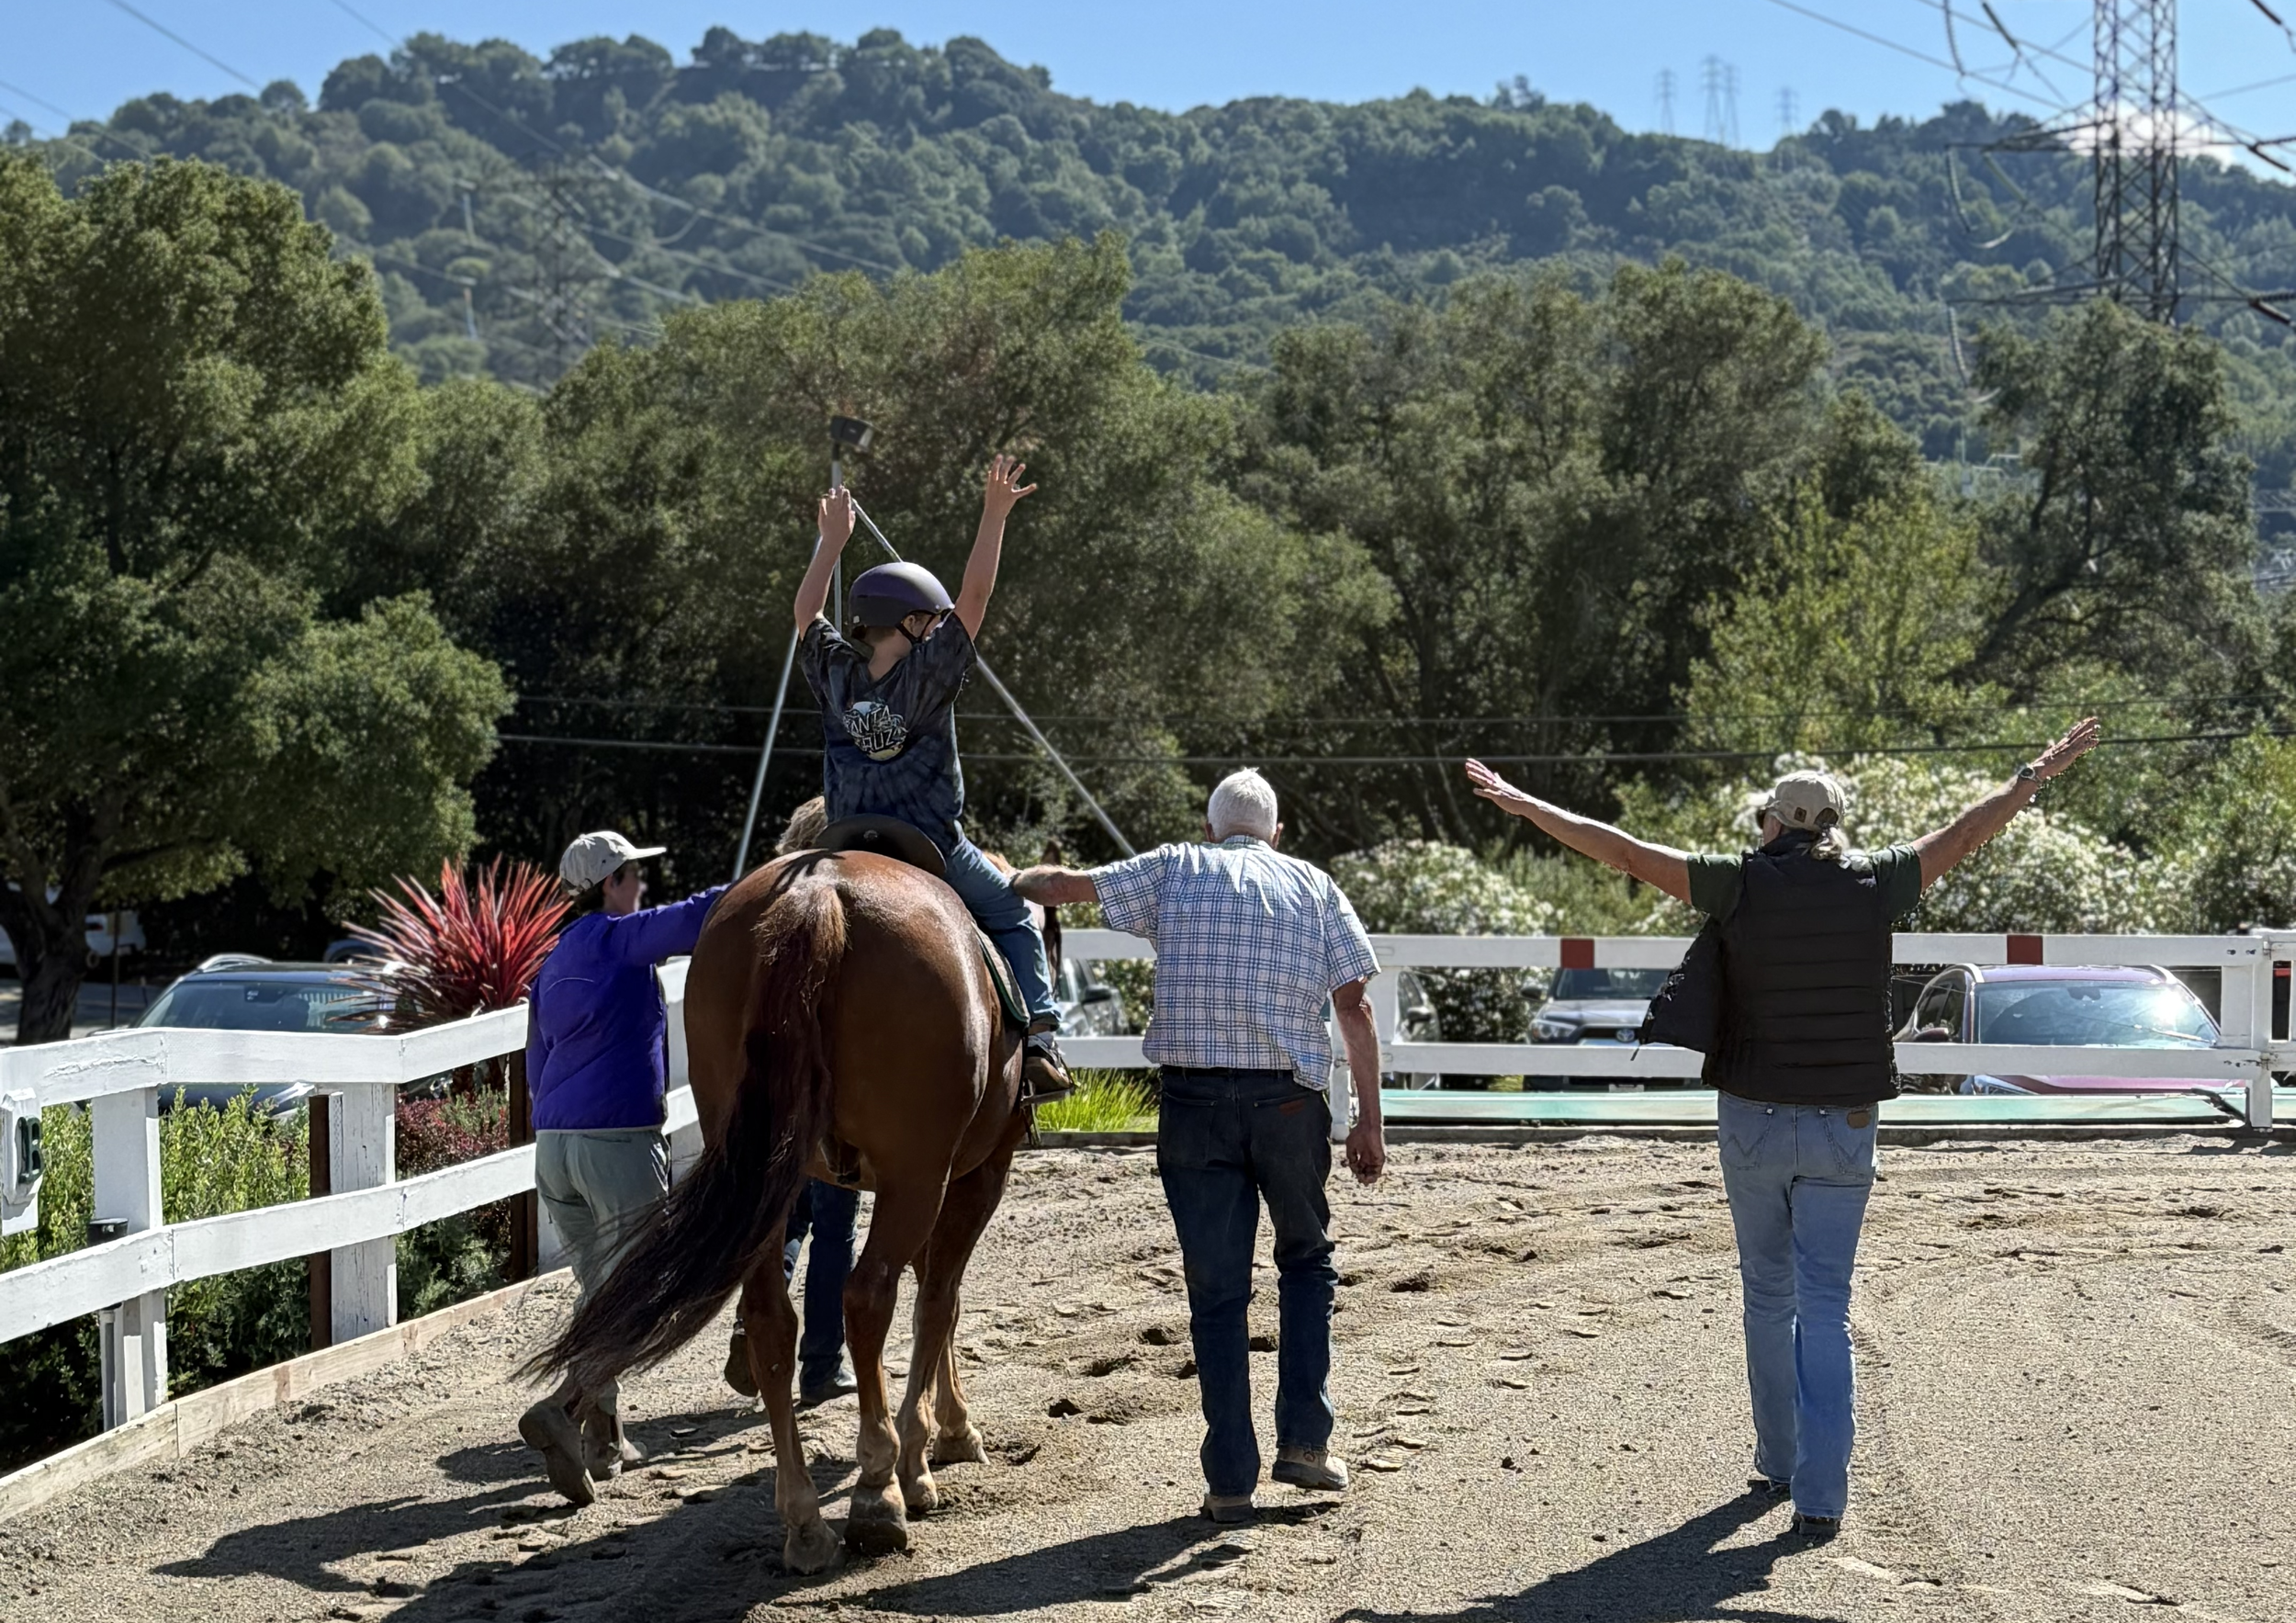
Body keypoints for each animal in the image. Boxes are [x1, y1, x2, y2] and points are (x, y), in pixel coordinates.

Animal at [523, 844, 1033, 1574]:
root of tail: (816, 894)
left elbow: (939, 1298)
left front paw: (946, 1428)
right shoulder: (973, 1173)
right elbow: (940, 1301)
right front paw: (932, 1448)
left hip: (769, 1175)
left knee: (771, 1320)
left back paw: (805, 1520)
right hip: (912, 1175)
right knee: (868, 1296)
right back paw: (878, 1491)